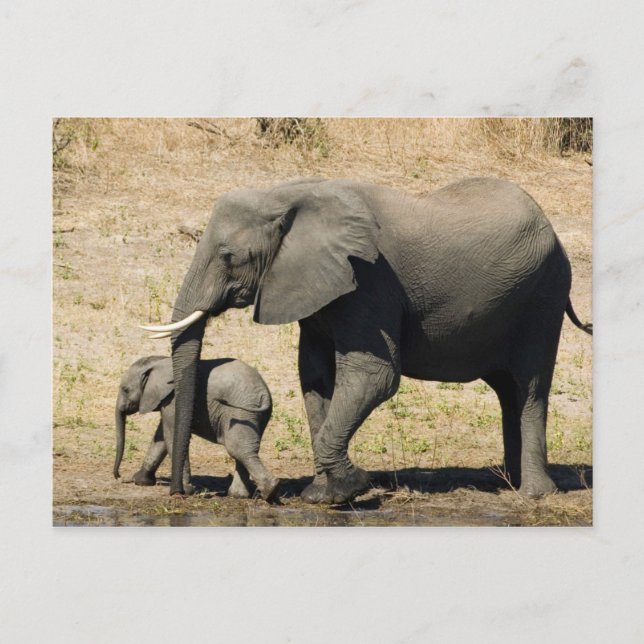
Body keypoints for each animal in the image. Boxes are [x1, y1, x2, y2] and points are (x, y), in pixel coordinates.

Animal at [113, 355, 280, 501]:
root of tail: (264, 394)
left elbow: (171, 436)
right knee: (244, 450)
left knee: (238, 449)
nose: (119, 476)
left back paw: (269, 491)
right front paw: (140, 480)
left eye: (125, 389)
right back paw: (240, 495)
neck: (160, 362)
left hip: (240, 413)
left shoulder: (173, 400)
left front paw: (185, 491)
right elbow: (160, 438)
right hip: (254, 415)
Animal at [141, 177, 592, 503]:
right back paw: (508, 483)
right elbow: (315, 377)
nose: (182, 493)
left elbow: (373, 377)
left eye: (230, 257)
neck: (287, 193)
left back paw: (533, 495)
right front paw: (322, 494)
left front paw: (350, 488)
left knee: (530, 388)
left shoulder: (370, 280)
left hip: (543, 297)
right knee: (507, 391)